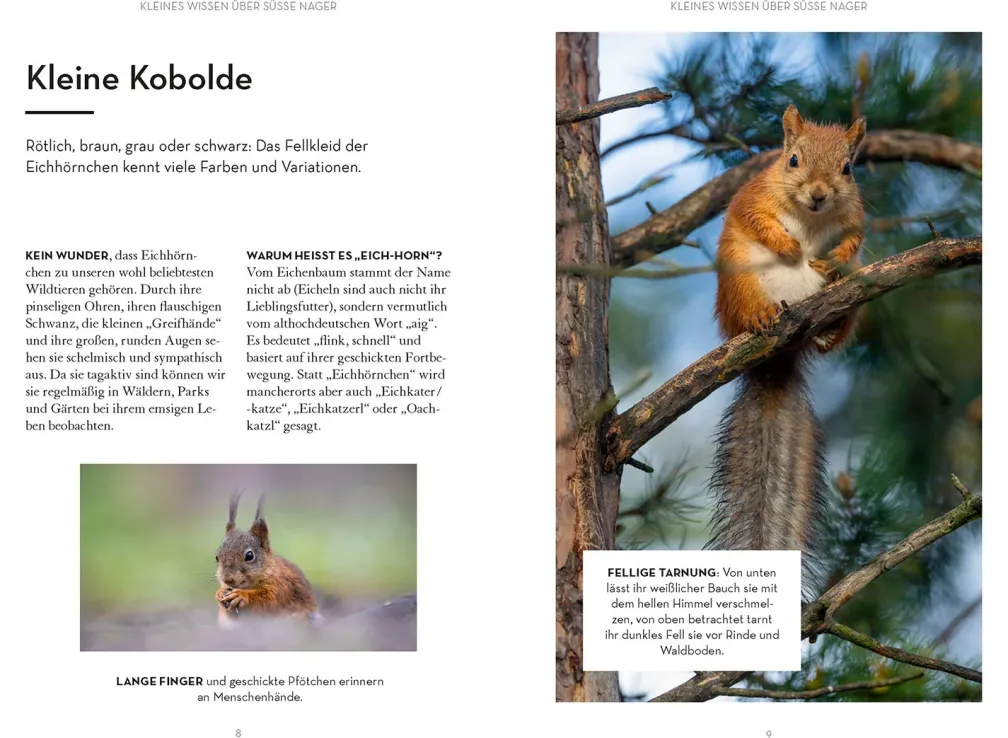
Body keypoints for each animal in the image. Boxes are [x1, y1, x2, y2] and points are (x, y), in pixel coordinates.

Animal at [215, 492, 319, 626]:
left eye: (249, 556)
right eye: (217, 557)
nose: (227, 579)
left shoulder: (281, 586)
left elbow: (269, 599)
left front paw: (242, 595)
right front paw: (219, 593)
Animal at [706, 105, 867, 598]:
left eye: (848, 169)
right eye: (793, 160)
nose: (818, 194)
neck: (810, 218)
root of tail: (779, 358)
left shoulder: (855, 216)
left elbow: (854, 237)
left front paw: (833, 256)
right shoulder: (753, 195)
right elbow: (756, 218)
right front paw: (788, 244)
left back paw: (826, 330)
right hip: (739, 280)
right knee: (747, 308)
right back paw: (760, 317)